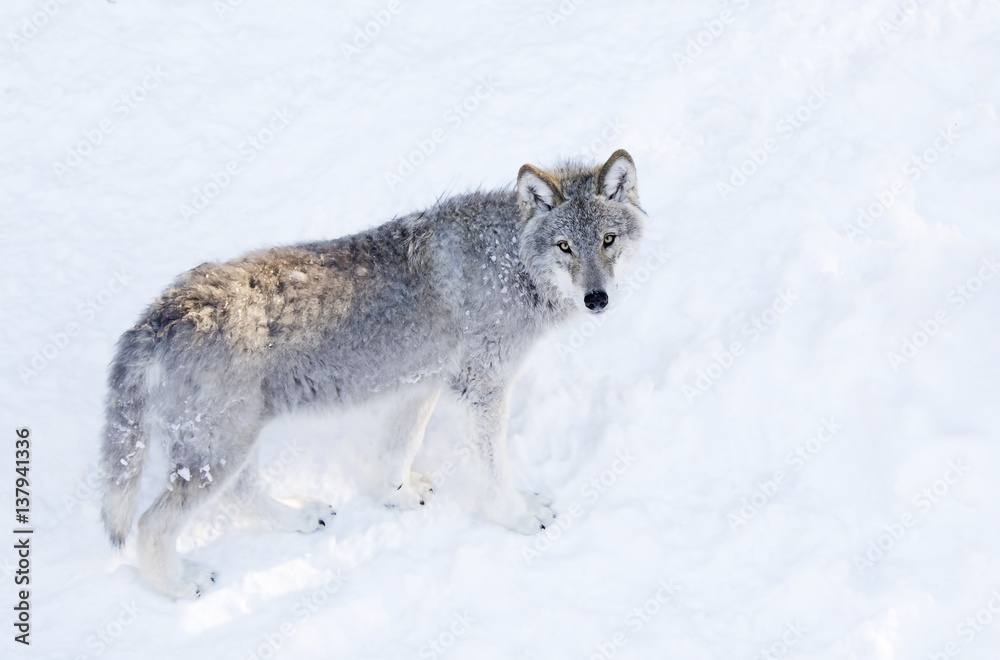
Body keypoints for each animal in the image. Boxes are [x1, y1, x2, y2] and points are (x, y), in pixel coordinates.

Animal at [100, 149, 645, 598]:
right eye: (564, 247)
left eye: (608, 240)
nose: (597, 299)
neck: (509, 263)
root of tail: (160, 316)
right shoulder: (483, 389)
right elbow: (494, 473)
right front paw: (517, 517)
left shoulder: (423, 383)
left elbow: (397, 452)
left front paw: (395, 496)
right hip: (221, 450)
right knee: (152, 525)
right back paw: (180, 586)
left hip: (233, 443)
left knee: (241, 496)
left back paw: (302, 517)